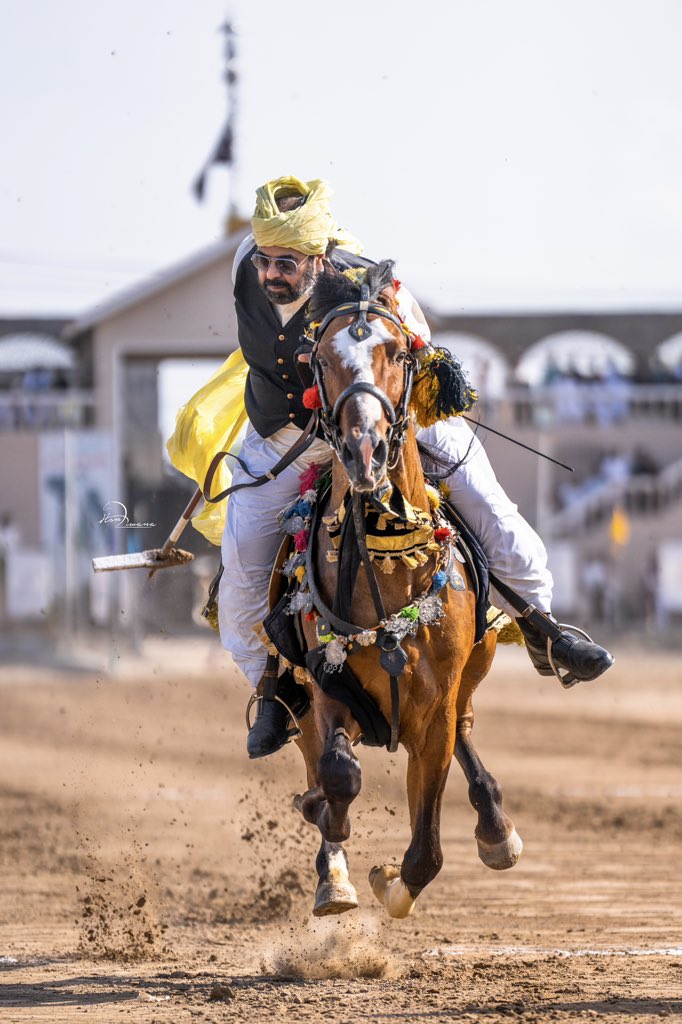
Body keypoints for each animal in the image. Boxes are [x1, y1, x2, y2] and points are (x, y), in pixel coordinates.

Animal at [288, 260, 520, 917]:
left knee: (467, 726)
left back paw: (495, 827)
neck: (389, 567)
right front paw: (331, 833)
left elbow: (426, 851)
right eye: (323, 358)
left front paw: (393, 881)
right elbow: (337, 775)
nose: (364, 449)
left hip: (476, 666)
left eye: (396, 352)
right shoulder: (326, 684)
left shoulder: (434, 709)